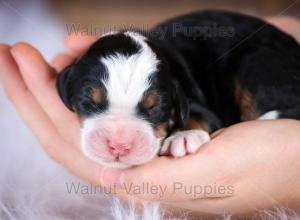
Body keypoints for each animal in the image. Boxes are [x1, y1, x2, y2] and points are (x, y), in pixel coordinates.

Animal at [56, 10, 300, 168]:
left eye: (155, 107)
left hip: (257, 63)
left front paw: (182, 137)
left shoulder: (196, 102)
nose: (119, 145)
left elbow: (195, 117)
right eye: (88, 102)